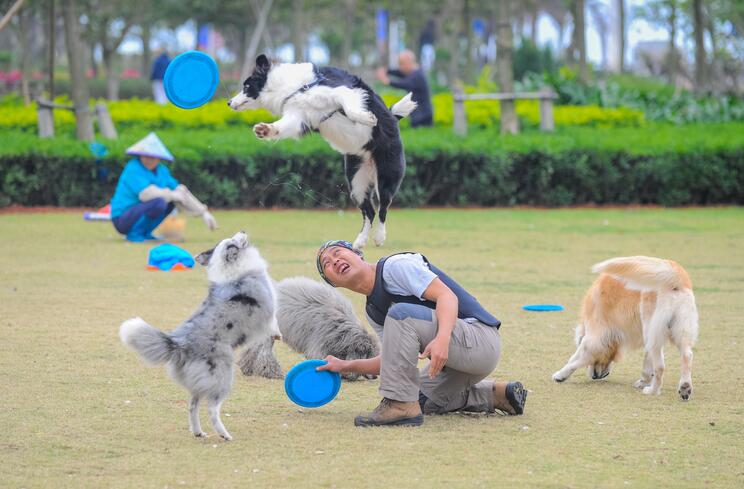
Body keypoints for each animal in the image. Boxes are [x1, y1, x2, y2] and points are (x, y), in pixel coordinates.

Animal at [119, 231, 282, 440]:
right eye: (233, 240)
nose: (243, 231)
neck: (231, 266)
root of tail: (179, 343)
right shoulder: (269, 307)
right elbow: (275, 323)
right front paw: (277, 334)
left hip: (197, 383)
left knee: (192, 406)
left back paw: (198, 432)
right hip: (222, 377)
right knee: (212, 409)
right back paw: (224, 434)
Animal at [238, 276, 378, 380]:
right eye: (369, 355)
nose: (375, 376)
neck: (341, 329)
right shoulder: (319, 342)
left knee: (253, 350)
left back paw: (247, 368)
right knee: (263, 353)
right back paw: (272, 373)